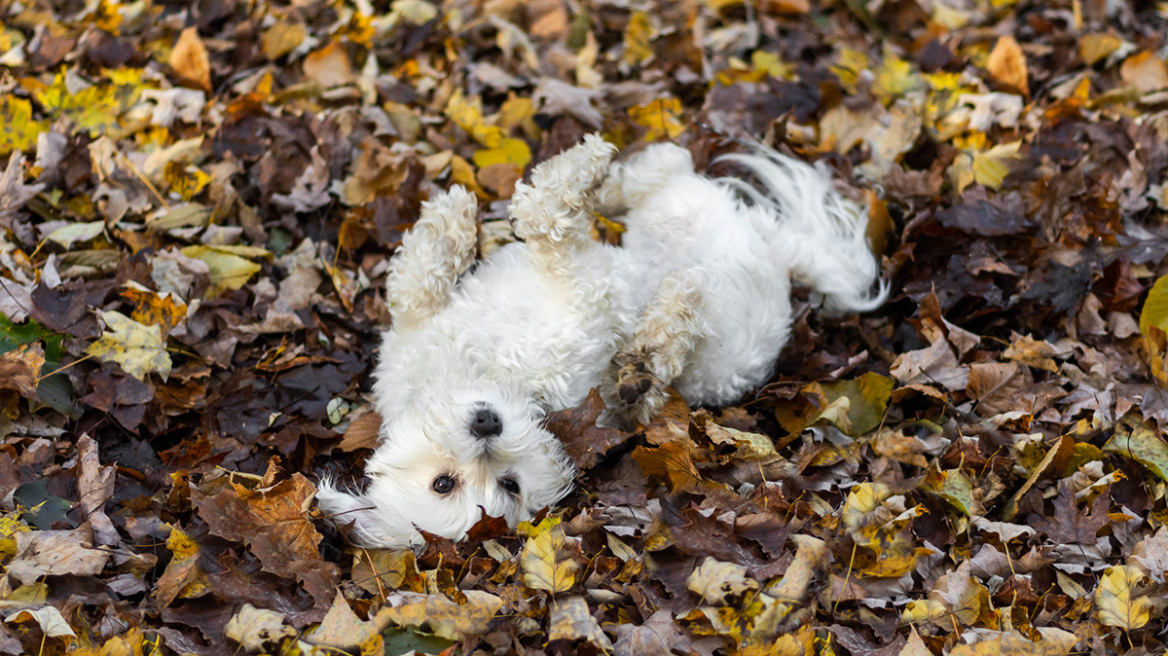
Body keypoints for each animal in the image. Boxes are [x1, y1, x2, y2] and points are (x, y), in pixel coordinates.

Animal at [315, 136, 878, 546]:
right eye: (447, 484)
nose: (486, 425)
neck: (483, 370)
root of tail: (778, 258)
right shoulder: (584, 292)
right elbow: (546, 224)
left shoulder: (429, 324)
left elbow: (419, 279)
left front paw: (450, 218)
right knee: (676, 251)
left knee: (660, 169)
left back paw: (604, 181)